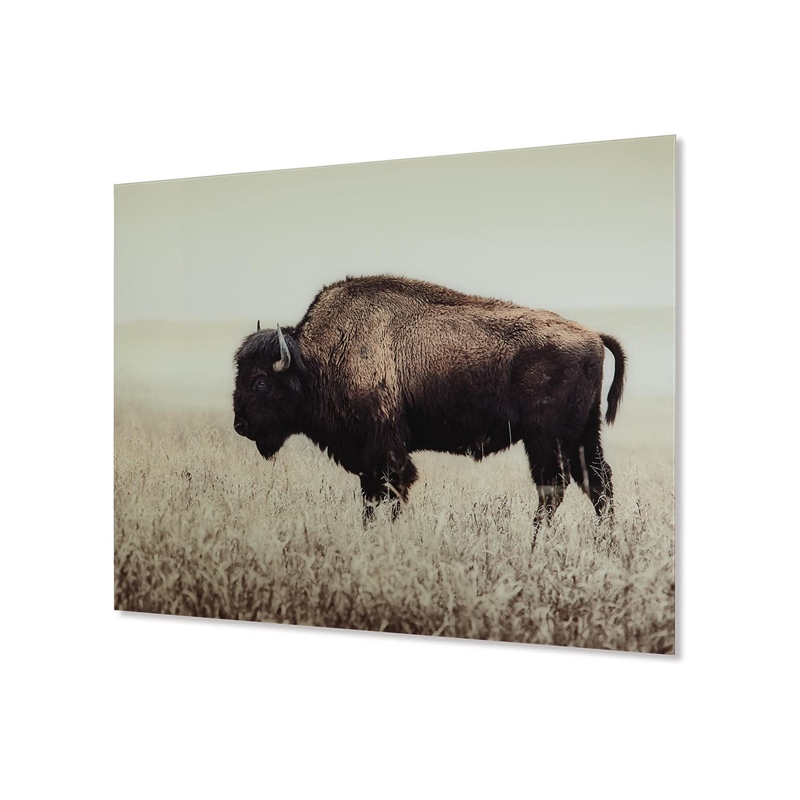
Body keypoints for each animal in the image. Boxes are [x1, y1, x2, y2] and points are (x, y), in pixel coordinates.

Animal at [233, 275, 625, 534]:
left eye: (261, 381)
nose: (240, 425)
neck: (316, 360)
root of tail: (593, 335)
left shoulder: (385, 449)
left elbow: (391, 490)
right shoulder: (368, 458)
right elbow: (371, 497)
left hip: (546, 438)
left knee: (554, 486)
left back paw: (536, 540)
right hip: (583, 435)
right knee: (596, 481)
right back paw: (604, 541)